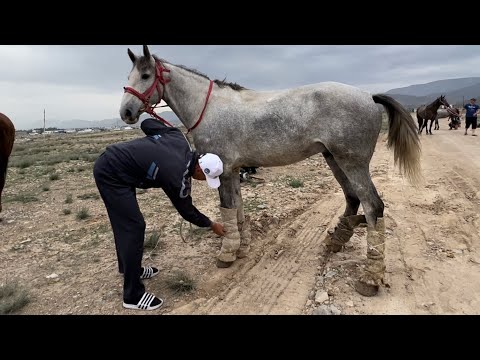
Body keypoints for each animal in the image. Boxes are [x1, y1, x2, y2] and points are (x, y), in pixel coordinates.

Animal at [121, 45, 424, 298]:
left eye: (146, 75)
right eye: (130, 74)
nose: (126, 112)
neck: (210, 108)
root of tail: (369, 96)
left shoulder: (222, 171)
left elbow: (227, 209)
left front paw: (227, 254)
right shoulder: (234, 170)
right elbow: (238, 210)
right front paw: (242, 247)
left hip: (352, 163)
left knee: (373, 207)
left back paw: (370, 278)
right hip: (333, 159)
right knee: (352, 198)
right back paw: (336, 241)